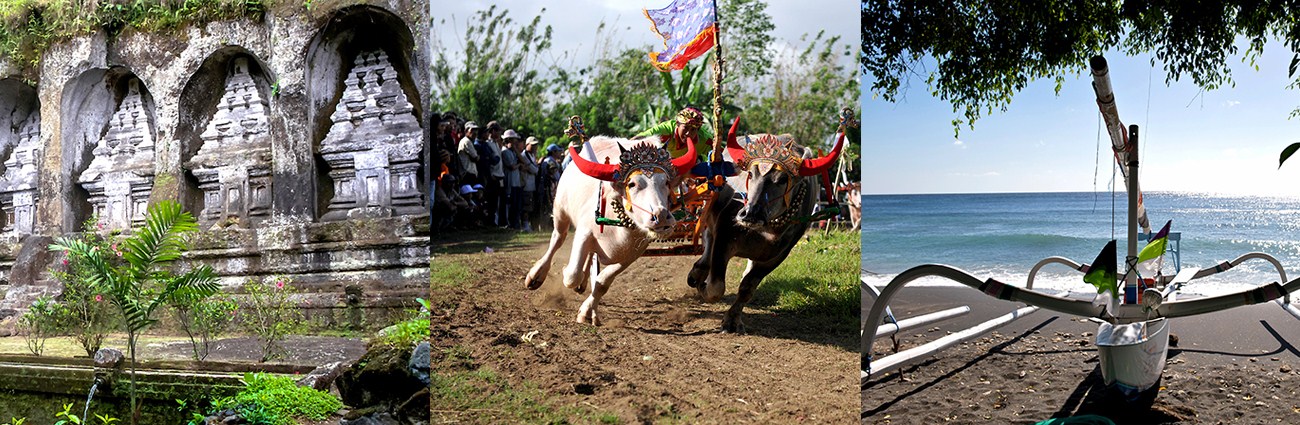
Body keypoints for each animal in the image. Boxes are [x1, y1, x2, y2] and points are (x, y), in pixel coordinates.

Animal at [522, 136, 696, 326]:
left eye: (665, 182)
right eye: (632, 184)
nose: (662, 216)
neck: (620, 231)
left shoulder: (632, 255)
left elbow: (602, 282)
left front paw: (586, 312)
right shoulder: (583, 233)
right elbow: (572, 275)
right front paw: (566, 271)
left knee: (589, 256)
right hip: (560, 210)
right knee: (557, 239)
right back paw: (536, 276)